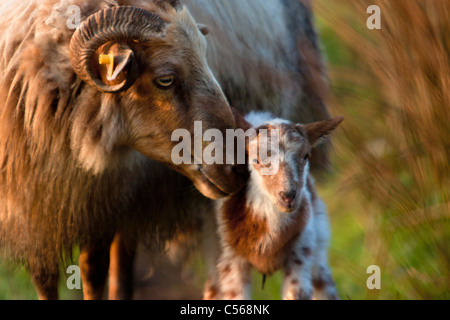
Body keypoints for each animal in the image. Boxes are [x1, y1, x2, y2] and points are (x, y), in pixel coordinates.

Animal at [202, 112, 342, 300]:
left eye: (306, 156)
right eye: (255, 160)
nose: (288, 195)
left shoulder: (301, 250)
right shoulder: (230, 260)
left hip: (319, 237)